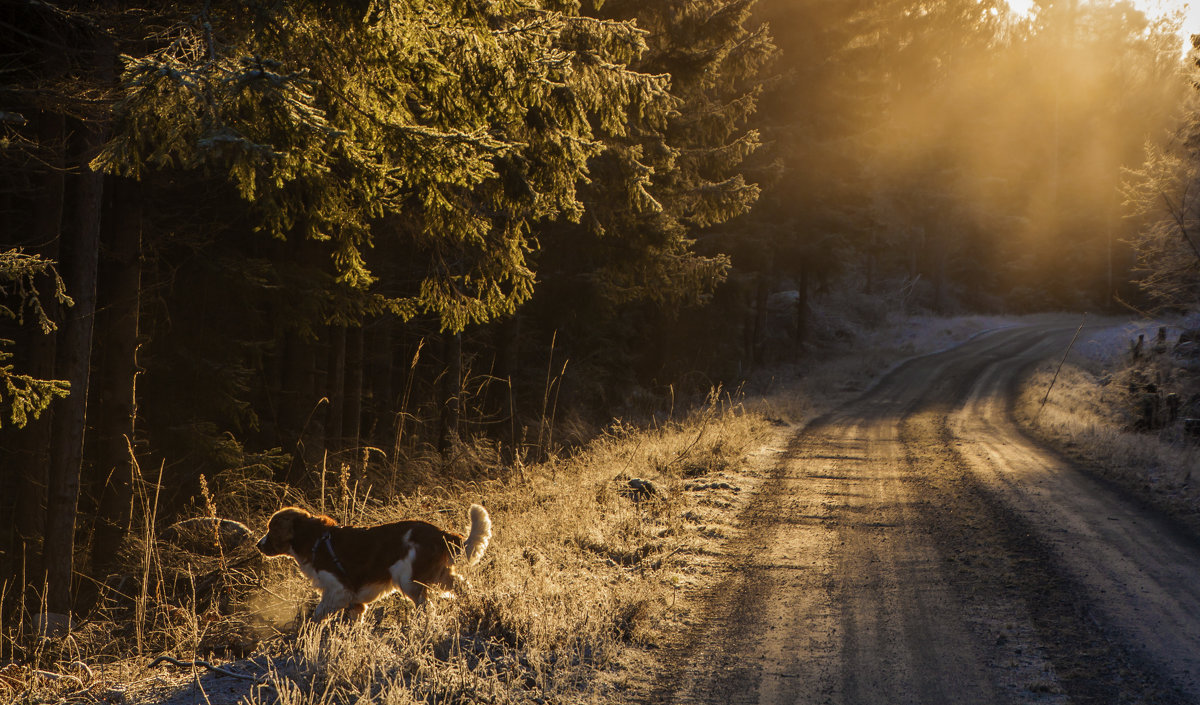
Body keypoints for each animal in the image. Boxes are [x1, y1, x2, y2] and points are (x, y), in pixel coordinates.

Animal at [258, 503, 492, 618]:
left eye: (271, 529)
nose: (258, 545)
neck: (315, 540)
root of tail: (440, 533)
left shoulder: (339, 590)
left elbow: (317, 615)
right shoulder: (355, 602)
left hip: (409, 579)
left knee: (427, 606)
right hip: (439, 575)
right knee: (463, 587)